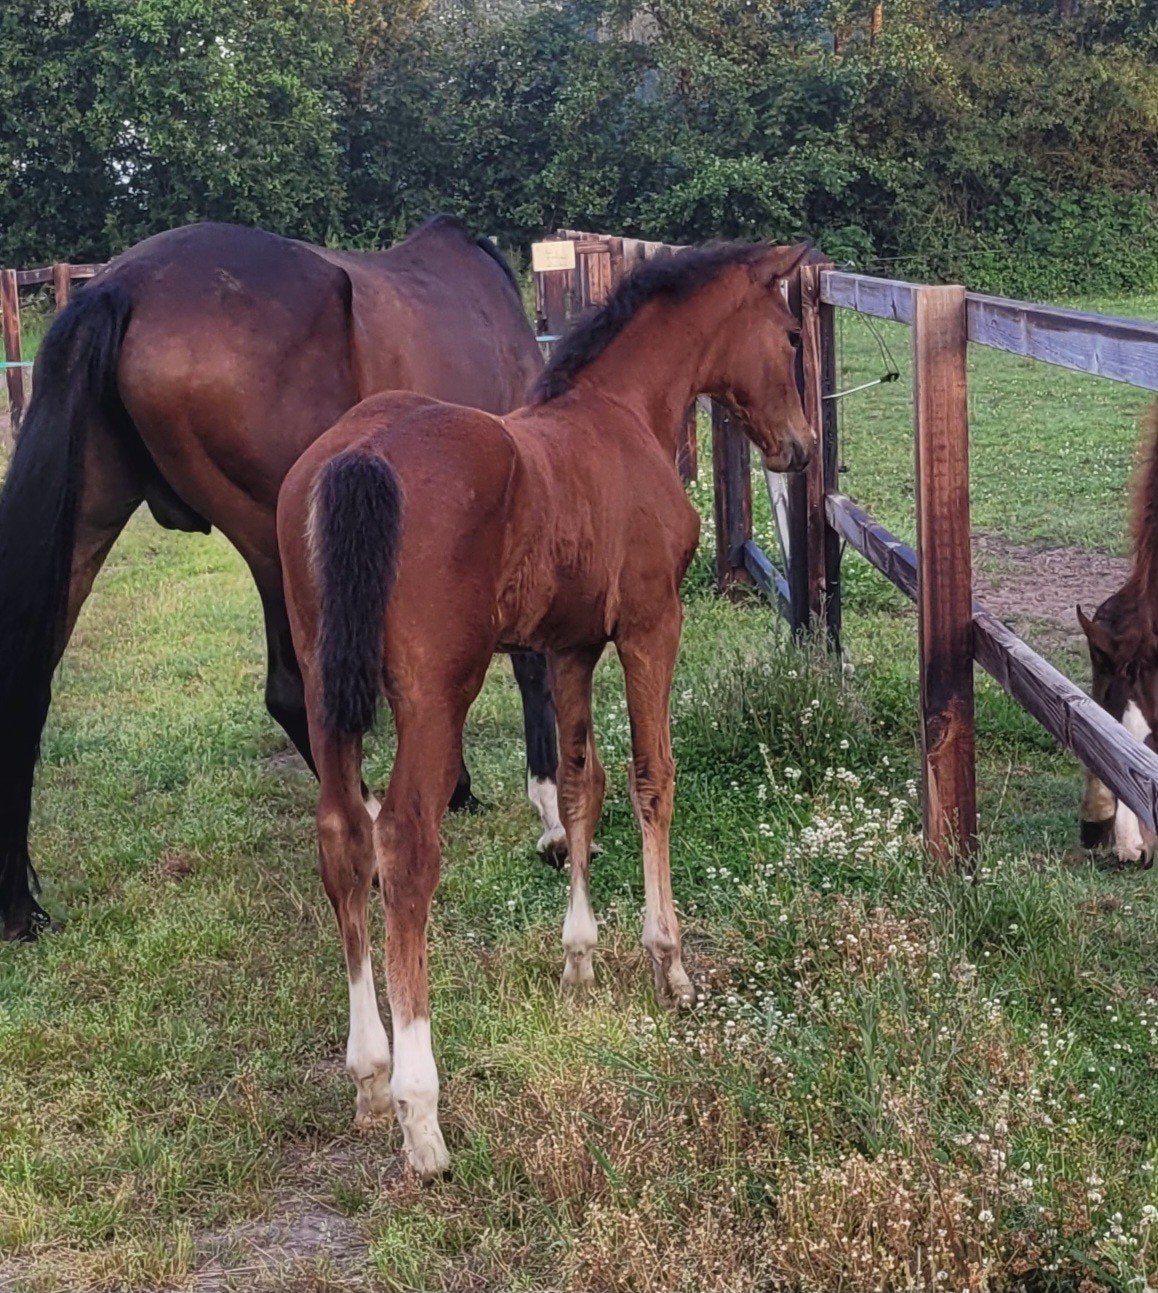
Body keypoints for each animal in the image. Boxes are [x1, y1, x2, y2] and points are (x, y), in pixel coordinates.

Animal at [0, 215, 563, 944]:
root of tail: (118, 287)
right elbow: (525, 662)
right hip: (277, 537)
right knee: (297, 694)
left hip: (91, 516)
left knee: (25, 687)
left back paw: (18, 907)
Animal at [276, 239, 814, 1178]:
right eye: (788, 336)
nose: (802, 446)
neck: (621, 415)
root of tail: (356, 454)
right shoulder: (650, 627)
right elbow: (650, 777)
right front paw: (668, 964)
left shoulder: (569, 648)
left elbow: (575, 785)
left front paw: (578, 960)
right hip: (435, 693)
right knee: (405, 843)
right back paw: (422, 1114)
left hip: (323, 690)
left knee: (343, 836)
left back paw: (371, 1076)